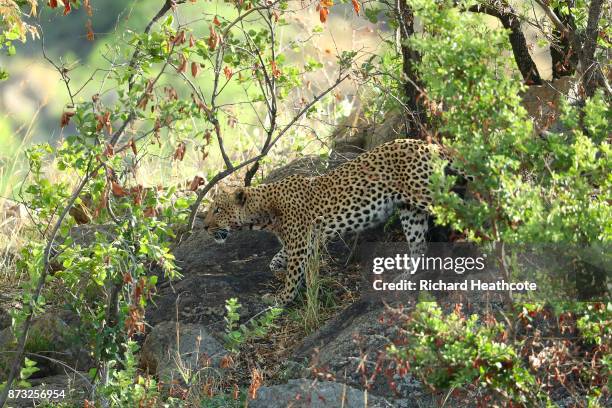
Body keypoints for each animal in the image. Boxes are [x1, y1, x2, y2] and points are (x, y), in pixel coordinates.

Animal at [203, 139, 452, 304]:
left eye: (217, 210)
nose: (204, 227)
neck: (263, 210)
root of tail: (426, 144)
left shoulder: (300, 244)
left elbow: (292, 276)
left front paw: (282, 299)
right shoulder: (300, 242)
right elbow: (275, 262)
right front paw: (287, 279)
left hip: (426, 196)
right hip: (410, 211)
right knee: (419, 247)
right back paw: (402, 277)